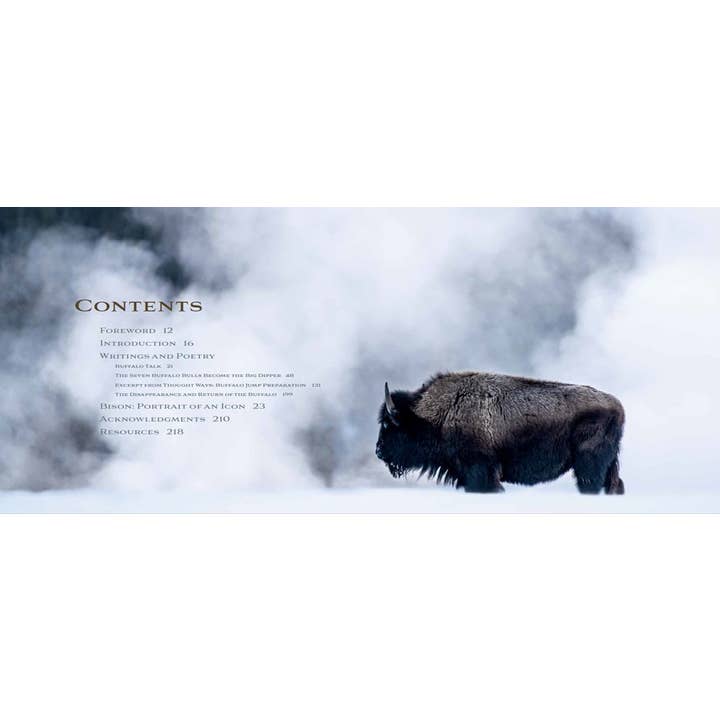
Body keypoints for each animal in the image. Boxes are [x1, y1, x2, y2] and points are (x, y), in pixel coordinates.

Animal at [376, 372, 625, 494]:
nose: (378, 451)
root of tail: (617, 406)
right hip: (608, 466)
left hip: (588, 467)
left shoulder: (481, 471)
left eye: (388, 424)